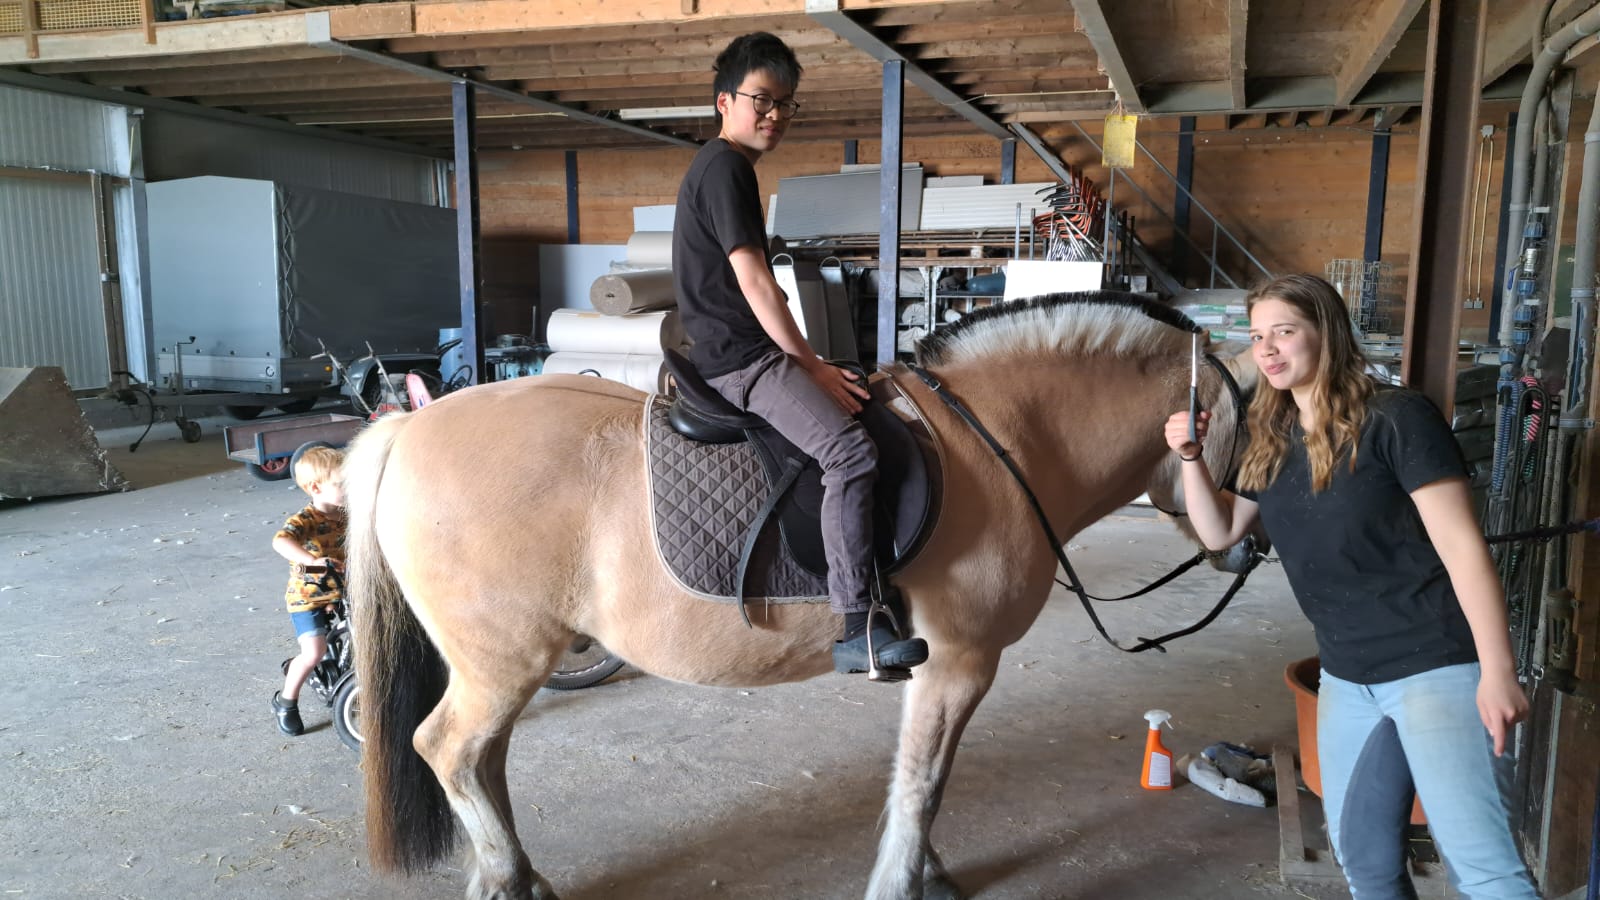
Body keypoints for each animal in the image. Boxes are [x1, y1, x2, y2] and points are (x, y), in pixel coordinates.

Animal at [343, 291, 1254, 900]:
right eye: (1255, 418)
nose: (1249, 544)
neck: (998, 442)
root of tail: (411, 427)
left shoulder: (943, 670)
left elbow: (927, 777)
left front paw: (929, 872)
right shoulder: (958, 663)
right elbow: (923, 782)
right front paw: (902, 884)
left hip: (501, 666)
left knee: (485, 760)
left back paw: (519, 877)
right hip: (503, 660)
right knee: (451, 750)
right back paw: (504, 877)